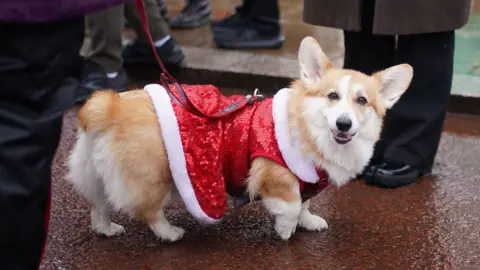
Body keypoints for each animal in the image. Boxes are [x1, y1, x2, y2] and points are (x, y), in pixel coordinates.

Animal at [67, 37, 412, 242]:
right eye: (332, 96)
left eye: (362, 101)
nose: (344, 123)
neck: (310, 131)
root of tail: (110, 105)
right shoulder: (275, 172)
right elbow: (290, 205)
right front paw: (286, 231)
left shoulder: (307, 180)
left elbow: (305, 204)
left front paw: (309, 222)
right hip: (156, 177)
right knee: (149, 211)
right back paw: (170, 233)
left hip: (94, 172)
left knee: (99, 204)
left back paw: (106, 229)